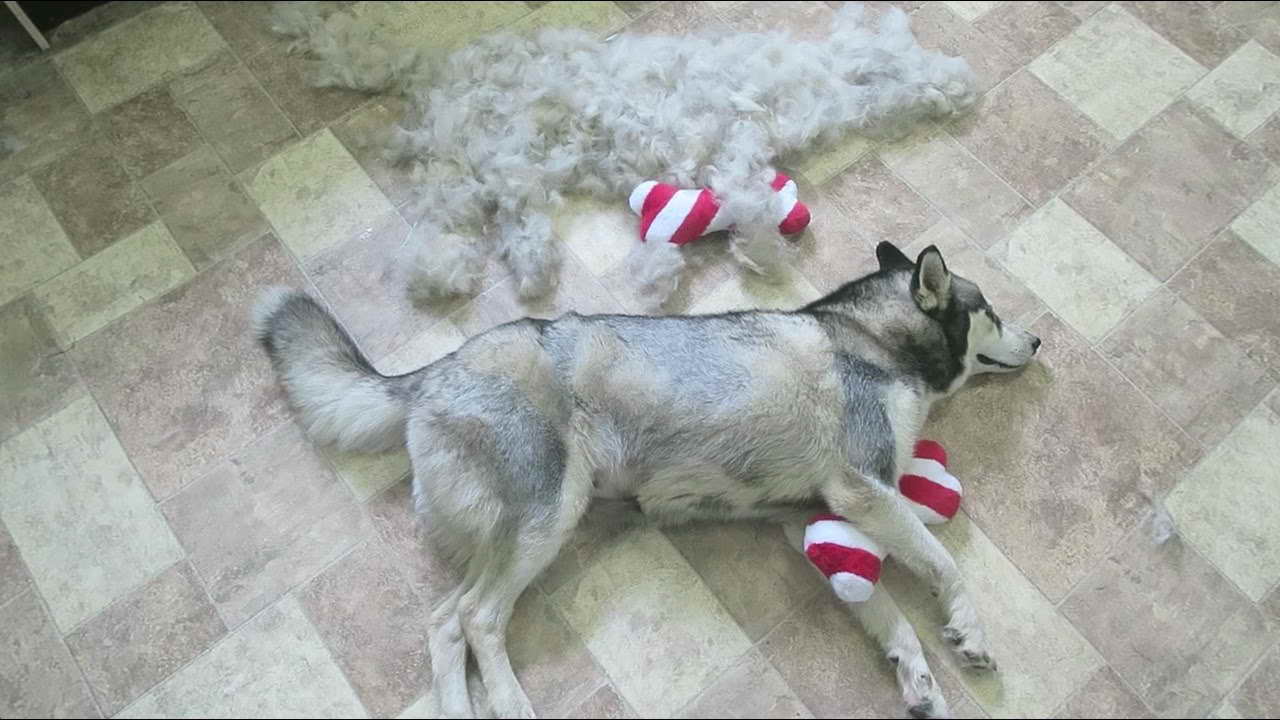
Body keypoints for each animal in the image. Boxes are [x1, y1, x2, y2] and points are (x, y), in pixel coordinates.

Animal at [252, 239, 1039, 712]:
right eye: (991, 311)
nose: (1037, 339)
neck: (875, 339)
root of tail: (438, 368)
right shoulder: (865, 491)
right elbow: (945, 566)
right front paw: (967, 629)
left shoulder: (808, 518)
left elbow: (888, 614)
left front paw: (916, 674)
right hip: (548, 517)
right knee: (475, 618)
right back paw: (508, 702)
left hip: (519, 532)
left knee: (445, 623)